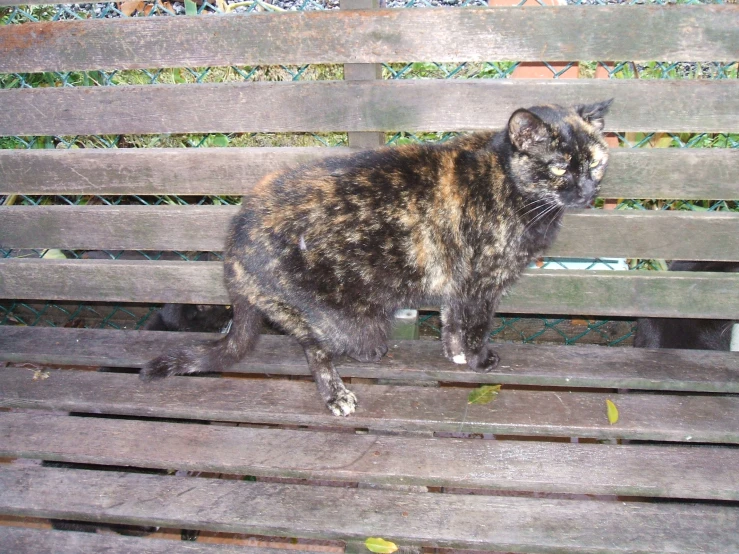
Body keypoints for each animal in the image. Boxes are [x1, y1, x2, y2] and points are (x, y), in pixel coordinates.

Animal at [142, 99, 616, 414]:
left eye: (595, 163)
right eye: (559, 167)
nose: (587, 192)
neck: (510, 184)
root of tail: (234, 245)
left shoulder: (457, 282)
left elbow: (450, 321)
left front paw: (454, 353)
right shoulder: (482, 284)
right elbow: (477, 327)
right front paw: (479, 360)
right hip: (347, 325)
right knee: (314, 346)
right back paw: (336, 393)